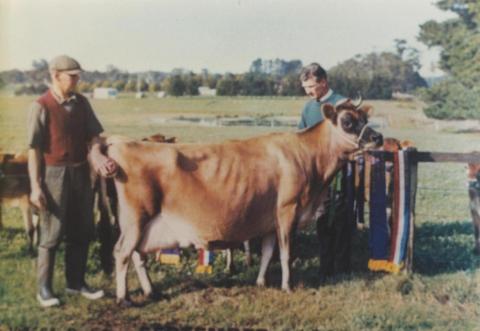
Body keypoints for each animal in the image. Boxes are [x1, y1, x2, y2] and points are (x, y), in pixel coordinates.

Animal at [108, 101, 382, 306]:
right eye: (347, 121)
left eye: (363, 116)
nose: (377, 137)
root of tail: (124, 143)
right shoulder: (288, 210)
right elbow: (286, 253)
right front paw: (287, 285)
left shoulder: (272, 219)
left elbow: (269, 252)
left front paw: (261, 282)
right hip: (136, 218)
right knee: (122, 252)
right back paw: (124, 298)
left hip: (142, 223)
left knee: (137, 254)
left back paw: (150, 290)